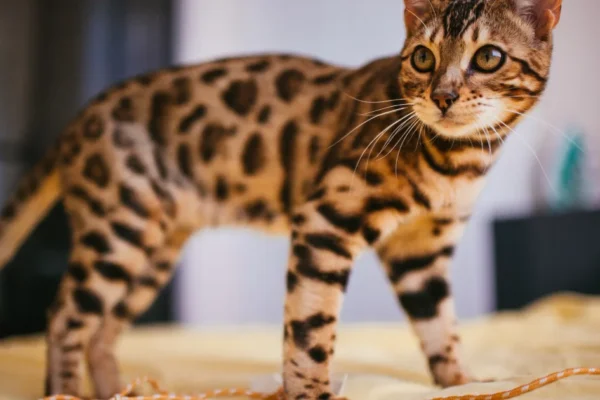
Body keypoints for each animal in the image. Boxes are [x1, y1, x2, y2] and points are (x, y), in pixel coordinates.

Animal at [0, 0, 564, 398]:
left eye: (488, 57)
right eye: (422, 59)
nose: (442, 97)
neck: (455, 162)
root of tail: (77, 121)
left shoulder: (421, 251)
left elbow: (441, 327)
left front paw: (462, 382)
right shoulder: (326, 219)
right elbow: (310, 327)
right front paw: (310, 392)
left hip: (152, 251)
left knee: (101, 330)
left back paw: (114, 392)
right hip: (120, 229)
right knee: (65, 318)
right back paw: (64, 394)